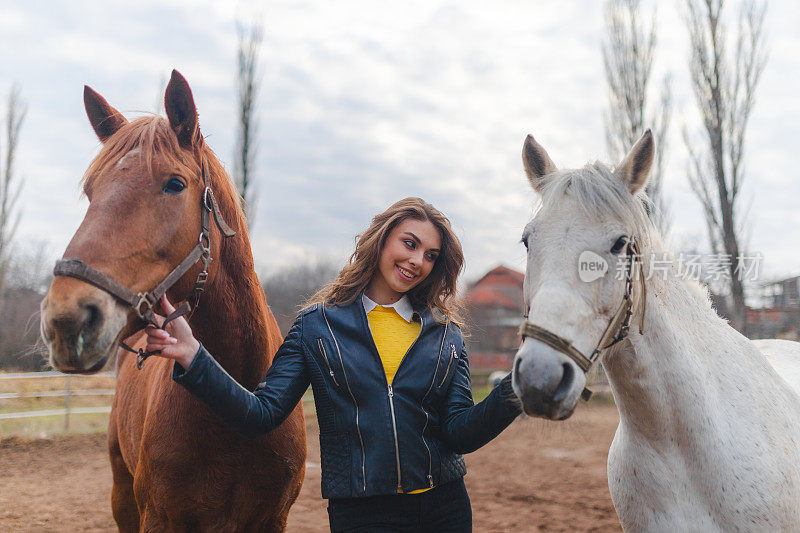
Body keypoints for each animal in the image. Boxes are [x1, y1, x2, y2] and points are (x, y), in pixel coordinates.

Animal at [37, 69, 308, 528]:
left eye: (175, 185)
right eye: (91, 192)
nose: (66, 320)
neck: (240, 405)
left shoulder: (273, 519)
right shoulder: (158, 516)